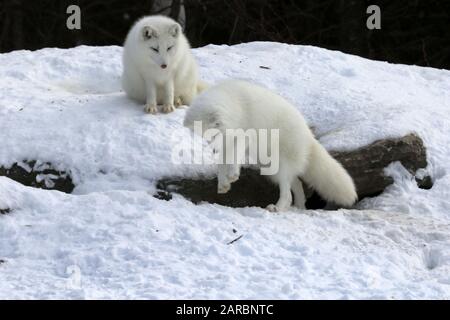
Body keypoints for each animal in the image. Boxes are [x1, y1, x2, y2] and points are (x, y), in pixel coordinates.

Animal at [184, 79, 358, 211]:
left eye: (213, 135)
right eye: (203, 138)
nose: (213, 150)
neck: (234, 105)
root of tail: (309, 136)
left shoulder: (243, 136)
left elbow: (235, 156)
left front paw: (233, 174)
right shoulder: (227, 143)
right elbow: (222, 165)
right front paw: (223, 184)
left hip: (280, 165)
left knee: (287, 194)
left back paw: (278, 208)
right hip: (271, 169)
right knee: (296, 184)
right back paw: (299, 207)